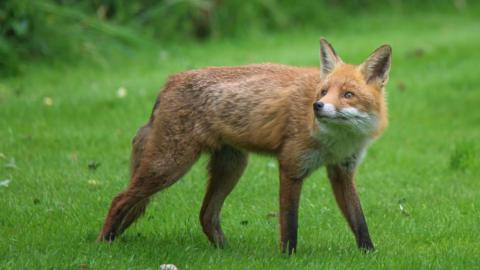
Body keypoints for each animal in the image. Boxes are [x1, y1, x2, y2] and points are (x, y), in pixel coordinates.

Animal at [97, 38, 390, 255]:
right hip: (170, 165)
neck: (336, 140)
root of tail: (170, 81)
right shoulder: (291, 166)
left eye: (348, 95)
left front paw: (369, 254)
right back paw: (104, 243)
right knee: (119, 198)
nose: (317, 107)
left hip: (231, 167)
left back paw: (226, 252)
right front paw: (288, 257)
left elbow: (359, 220)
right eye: (323, 92)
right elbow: (290, 224)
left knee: (206, 215)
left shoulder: (342, 172)